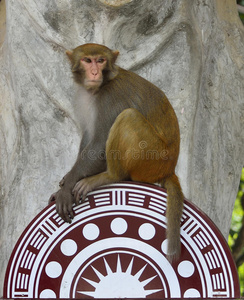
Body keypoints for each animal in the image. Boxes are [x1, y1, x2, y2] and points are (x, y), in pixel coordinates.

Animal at [49, 43, 183, 262]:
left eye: (100, 60)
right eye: (87, 60)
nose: (95, 72)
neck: (98, 88)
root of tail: (169, 169)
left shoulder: (111, 97)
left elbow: (99, 142)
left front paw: (67, 186)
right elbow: (89, 136)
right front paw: (66, 180)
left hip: (152, 158)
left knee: (128, 116)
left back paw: (111, 176)